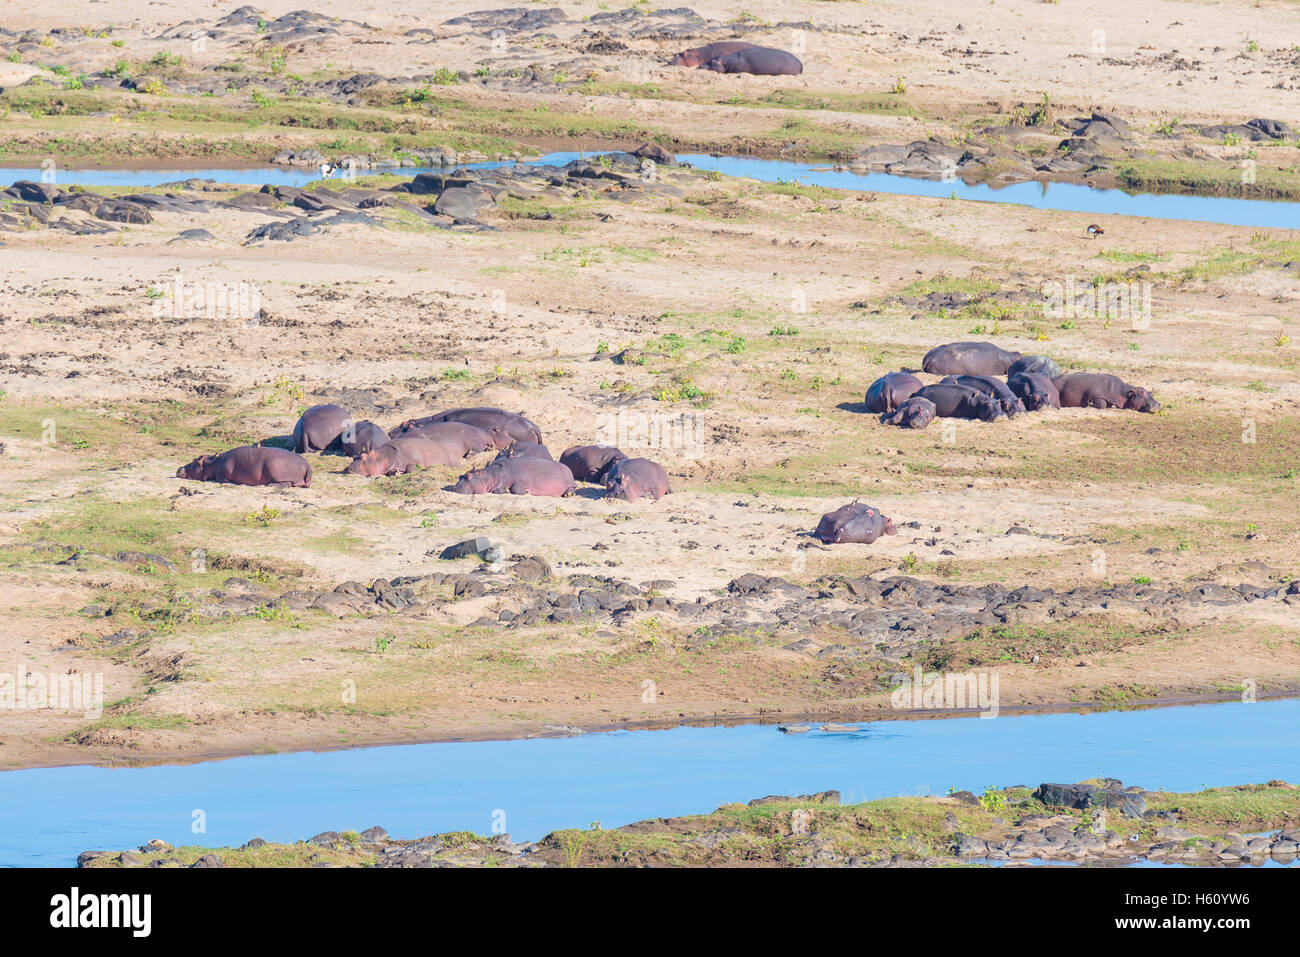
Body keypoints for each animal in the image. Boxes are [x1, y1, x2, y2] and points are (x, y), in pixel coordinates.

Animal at [178, 442, 312, 486]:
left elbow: (221, 479)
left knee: (286, 484)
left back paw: (269, 485)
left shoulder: (221, 474)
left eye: (194, 460)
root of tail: (307, 464)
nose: (179, 468)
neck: (213, 463)